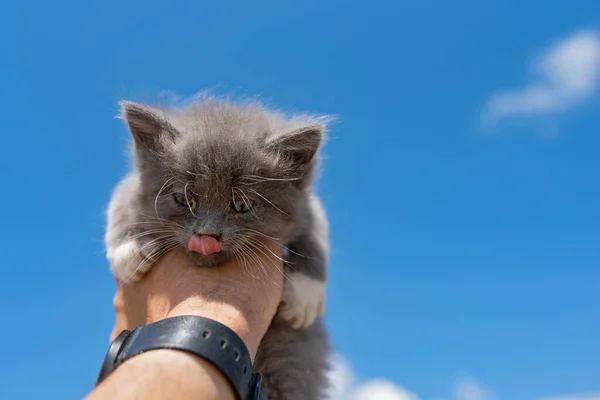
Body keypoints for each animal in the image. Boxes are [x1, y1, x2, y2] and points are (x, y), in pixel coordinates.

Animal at [106, 97, 332, 400]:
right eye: (184, 199)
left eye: (241, 204)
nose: (206, 235)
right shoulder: (133, 183)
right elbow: (121, 199)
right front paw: (129, 250)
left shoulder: (307, 205)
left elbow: (317, 230)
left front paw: (306, 293)